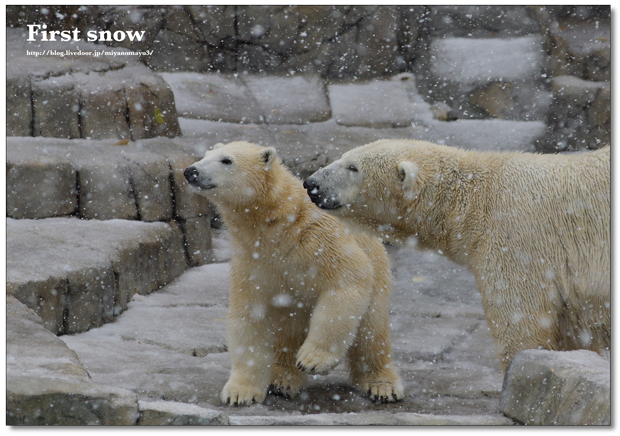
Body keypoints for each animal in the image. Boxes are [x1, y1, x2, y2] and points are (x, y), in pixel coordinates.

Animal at [185, 142, 402, 406]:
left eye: (226, 160)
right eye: (205, 155)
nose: (191, 171)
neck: (277, 223)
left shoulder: (318, 238)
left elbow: (349, 276)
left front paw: (312, 360)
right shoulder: (253, 261)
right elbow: (249, 314)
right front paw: (239, 393)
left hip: (378, 276)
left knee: (371, 332)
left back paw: (381, 385)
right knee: (287, 334)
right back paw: (282, 380)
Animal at [306, 140, 612, 372]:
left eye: (353, 167)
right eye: (344, 157)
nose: (311, 183)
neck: (479, 198)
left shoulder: (518, 242)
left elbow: (521, 320)